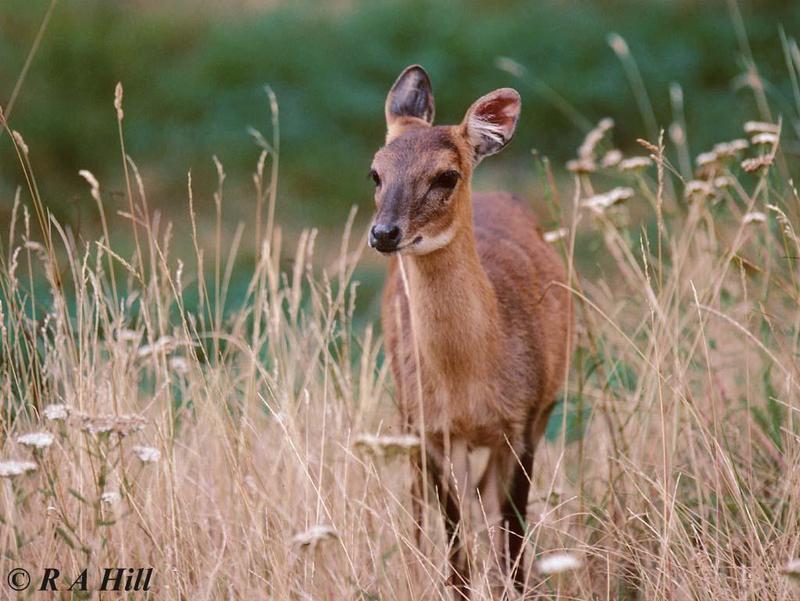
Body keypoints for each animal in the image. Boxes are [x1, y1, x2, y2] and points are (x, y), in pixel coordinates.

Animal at [368, 65, 576, 596]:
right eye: (375, 172)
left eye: (446, 175)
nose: (384, 233)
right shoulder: (434, 429)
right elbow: (455, 549)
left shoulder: (523, 420)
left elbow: (514, 538)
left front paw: (516, 589)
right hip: (406, 415)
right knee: (424, 510)